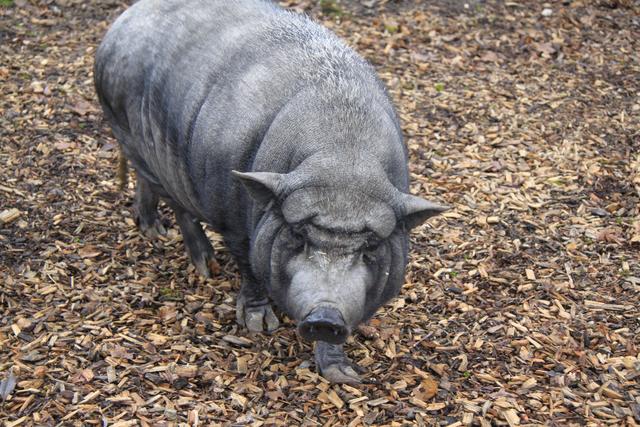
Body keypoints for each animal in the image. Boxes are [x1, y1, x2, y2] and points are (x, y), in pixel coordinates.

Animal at [95, 0, 448, 384]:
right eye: (298, 234)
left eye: (370, 247)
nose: (326, 316)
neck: (340, 159)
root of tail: (124, 20)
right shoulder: (231, 218)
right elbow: (248, 264)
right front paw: (259, 326)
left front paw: (344, 376)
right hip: (125, 128)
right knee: (178, 204)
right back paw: (204, 265)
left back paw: (154, 231)